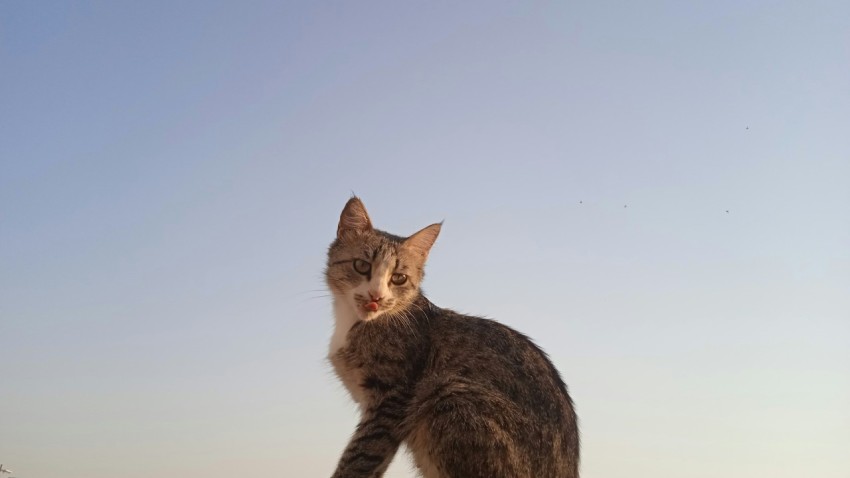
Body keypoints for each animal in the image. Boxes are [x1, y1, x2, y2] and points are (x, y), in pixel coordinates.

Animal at [324, 196, 576, 476]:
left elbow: (361, 456)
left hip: (449, 394)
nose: (375, 297)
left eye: (398, 278)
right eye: (361, 265)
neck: (355, 322)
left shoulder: (390, 400)